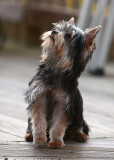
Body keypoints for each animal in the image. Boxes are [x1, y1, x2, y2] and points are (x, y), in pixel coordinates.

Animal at [24, 17, 101, 149]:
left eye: (69, 36)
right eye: (58, 28)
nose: (53, 31)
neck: (56, 67)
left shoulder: (64, 103)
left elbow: (59, 124)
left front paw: (55, 141)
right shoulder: (38, 96)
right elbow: (38, 120)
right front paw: (39, 138)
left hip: (78, 114)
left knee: (79, 126)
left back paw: (80, 135)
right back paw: (30, 134)